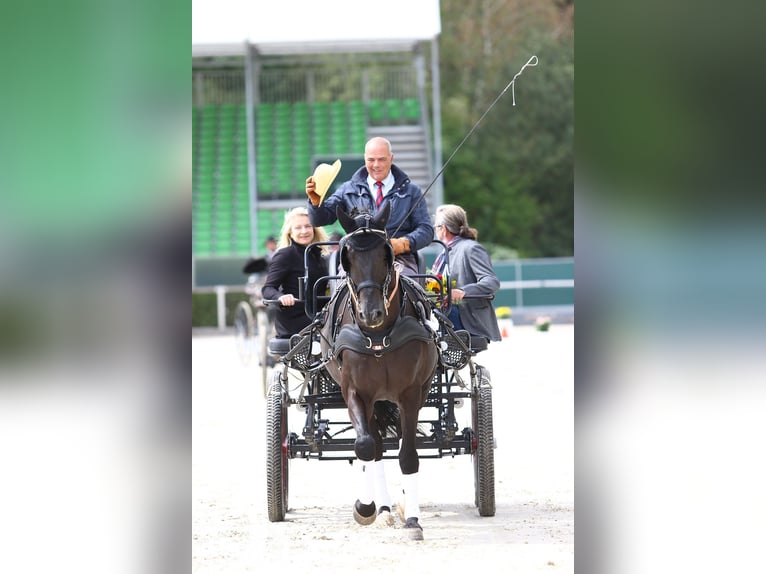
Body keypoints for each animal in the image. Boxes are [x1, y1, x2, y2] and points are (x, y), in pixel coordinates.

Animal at [320, 205, 438, 544]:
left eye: (387, 254)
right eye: (346, 257)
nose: (370, 313)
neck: (378, 336)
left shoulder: (411, 394)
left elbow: (408, 455)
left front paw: (413, 519)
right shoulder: (355, 393)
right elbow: (365, 447)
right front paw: (366, 507)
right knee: (375, 447)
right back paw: (383, 508)